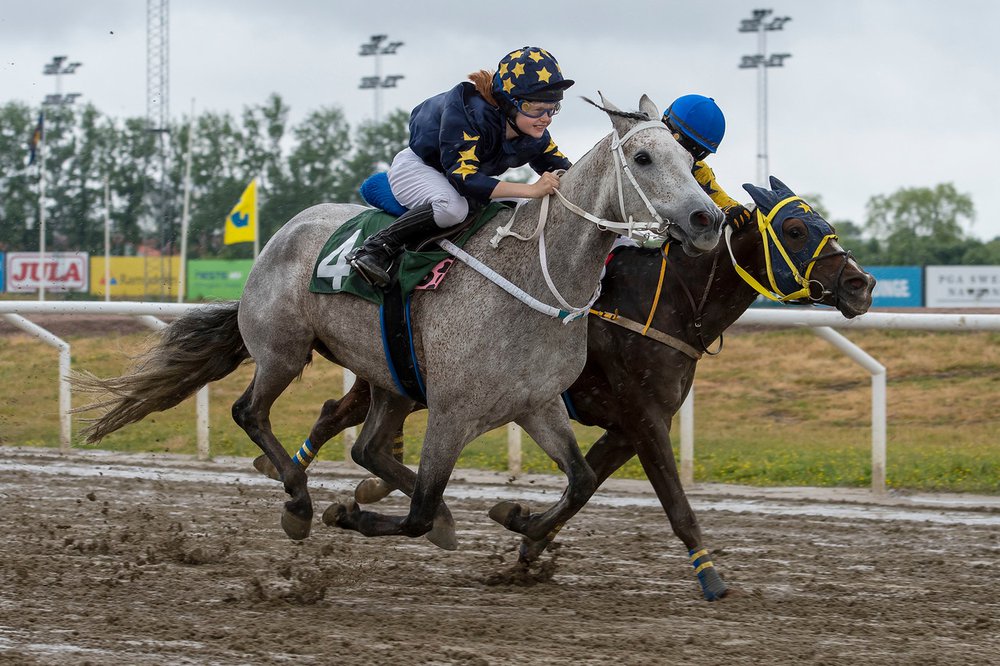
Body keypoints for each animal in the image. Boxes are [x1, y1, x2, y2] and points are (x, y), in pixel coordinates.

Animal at [74, 93, 724, 544]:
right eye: (644, 157)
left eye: (689, 159)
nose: (707, 220)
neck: (534, 280)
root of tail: (280, 235)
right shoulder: (453, 412)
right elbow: (415, 513)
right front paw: (350, 512)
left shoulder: (536, 403)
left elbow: (582, 482)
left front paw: (517, 518)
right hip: (284, 351)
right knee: (249, 412)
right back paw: (300, 503)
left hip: (388, 374)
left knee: (366, 448)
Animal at [256, 175, 876, 596]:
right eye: (794, 228)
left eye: (823, 225)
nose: (861, 284)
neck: (668, 305)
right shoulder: (642, 418)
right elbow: (674, 503)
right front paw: (711, 577)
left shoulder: (627, 427)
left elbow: (585, 485)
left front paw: (526, 534)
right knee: (336, 412)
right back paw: (296, 482)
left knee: (350, 424)